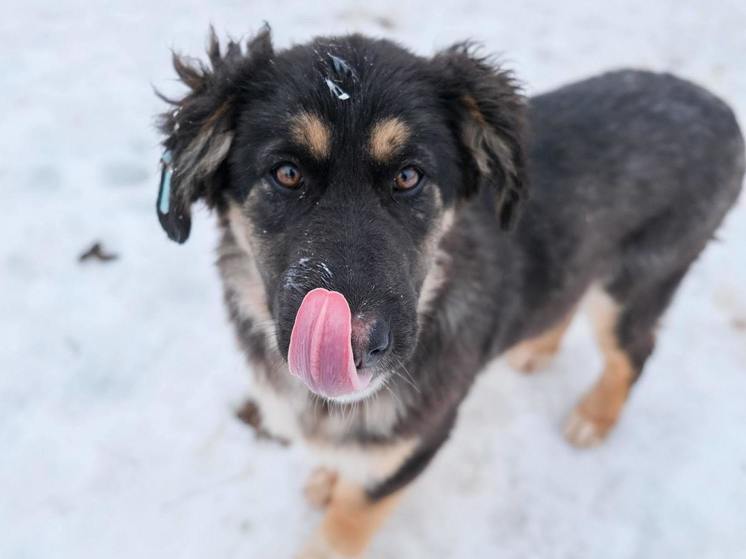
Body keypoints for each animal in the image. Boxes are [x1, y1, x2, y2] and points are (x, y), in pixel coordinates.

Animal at [154, 27, 740, 559]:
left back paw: (593, 419)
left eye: (409, 177)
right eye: (287, 173)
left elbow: (342, 530)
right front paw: (328, 475)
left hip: (636, 283)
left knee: (636, 352)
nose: (354, 347)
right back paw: (538, 350)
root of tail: (721, 111)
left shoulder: (415, 445)